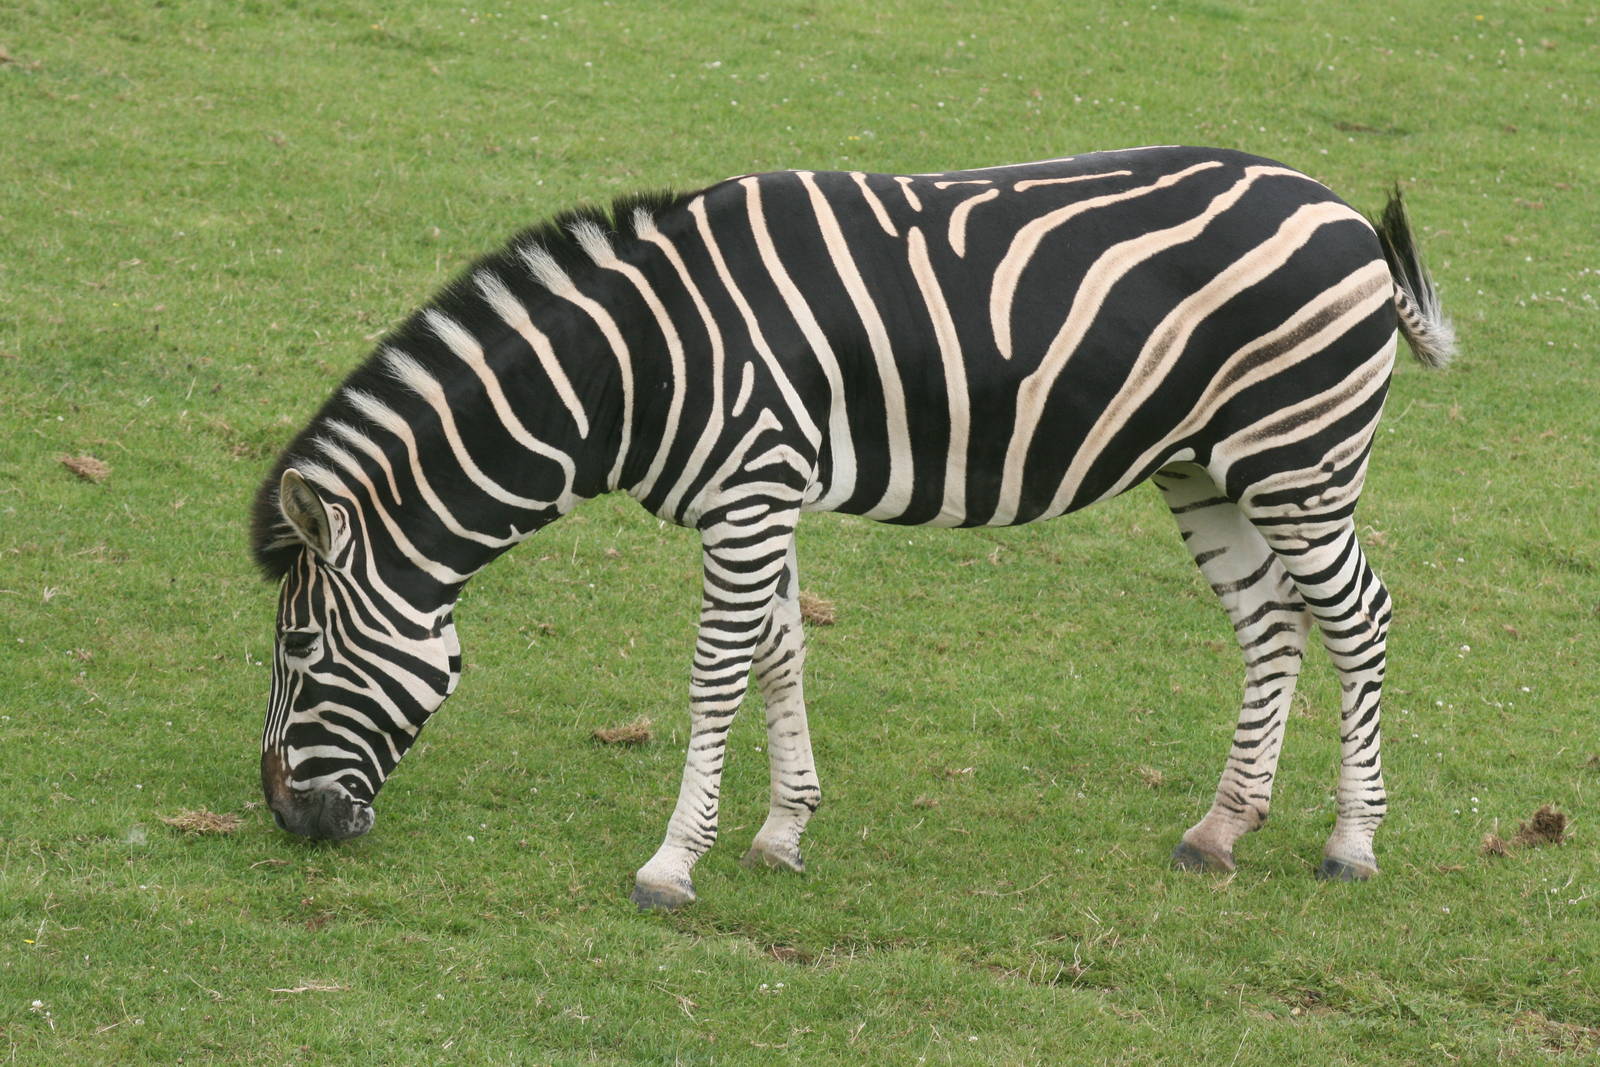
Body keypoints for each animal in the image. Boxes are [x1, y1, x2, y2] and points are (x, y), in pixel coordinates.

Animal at [252, 145, 1455, 910]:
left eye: (301, 646)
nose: (286, 819)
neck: (637, 366)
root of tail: (1343, 212)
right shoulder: (759, 493)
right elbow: (781, 651)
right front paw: (781, 832)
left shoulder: (747, 493)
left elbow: (717, 671)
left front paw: (669, 865)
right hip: (1205, 466)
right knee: (1272, 623)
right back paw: (1220, 830)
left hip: (1300, 457)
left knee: (1359, 616)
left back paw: (1352, 843)